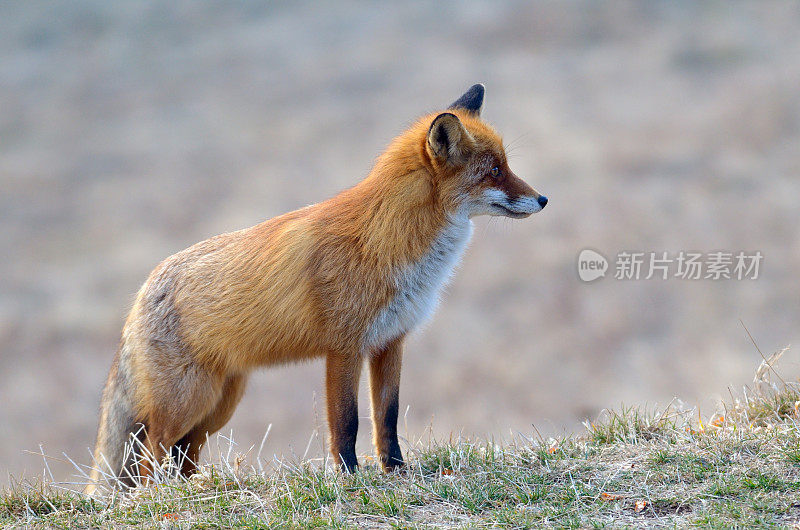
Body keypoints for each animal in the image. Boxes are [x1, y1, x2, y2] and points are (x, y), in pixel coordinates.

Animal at [89, 82, 552, 490]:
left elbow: (387, 417)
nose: (544, 199)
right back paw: (156, 496)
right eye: (495, 171)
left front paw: (396, 471)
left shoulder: (391, 341)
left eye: (506, 165)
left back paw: (193, 491)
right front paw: (349, 477)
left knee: (181, 455)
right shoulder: (344, 347)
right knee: (149, 453)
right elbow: (346, 421)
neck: (387, 241)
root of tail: (143, 290)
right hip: (189, 400)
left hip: (219, 404)